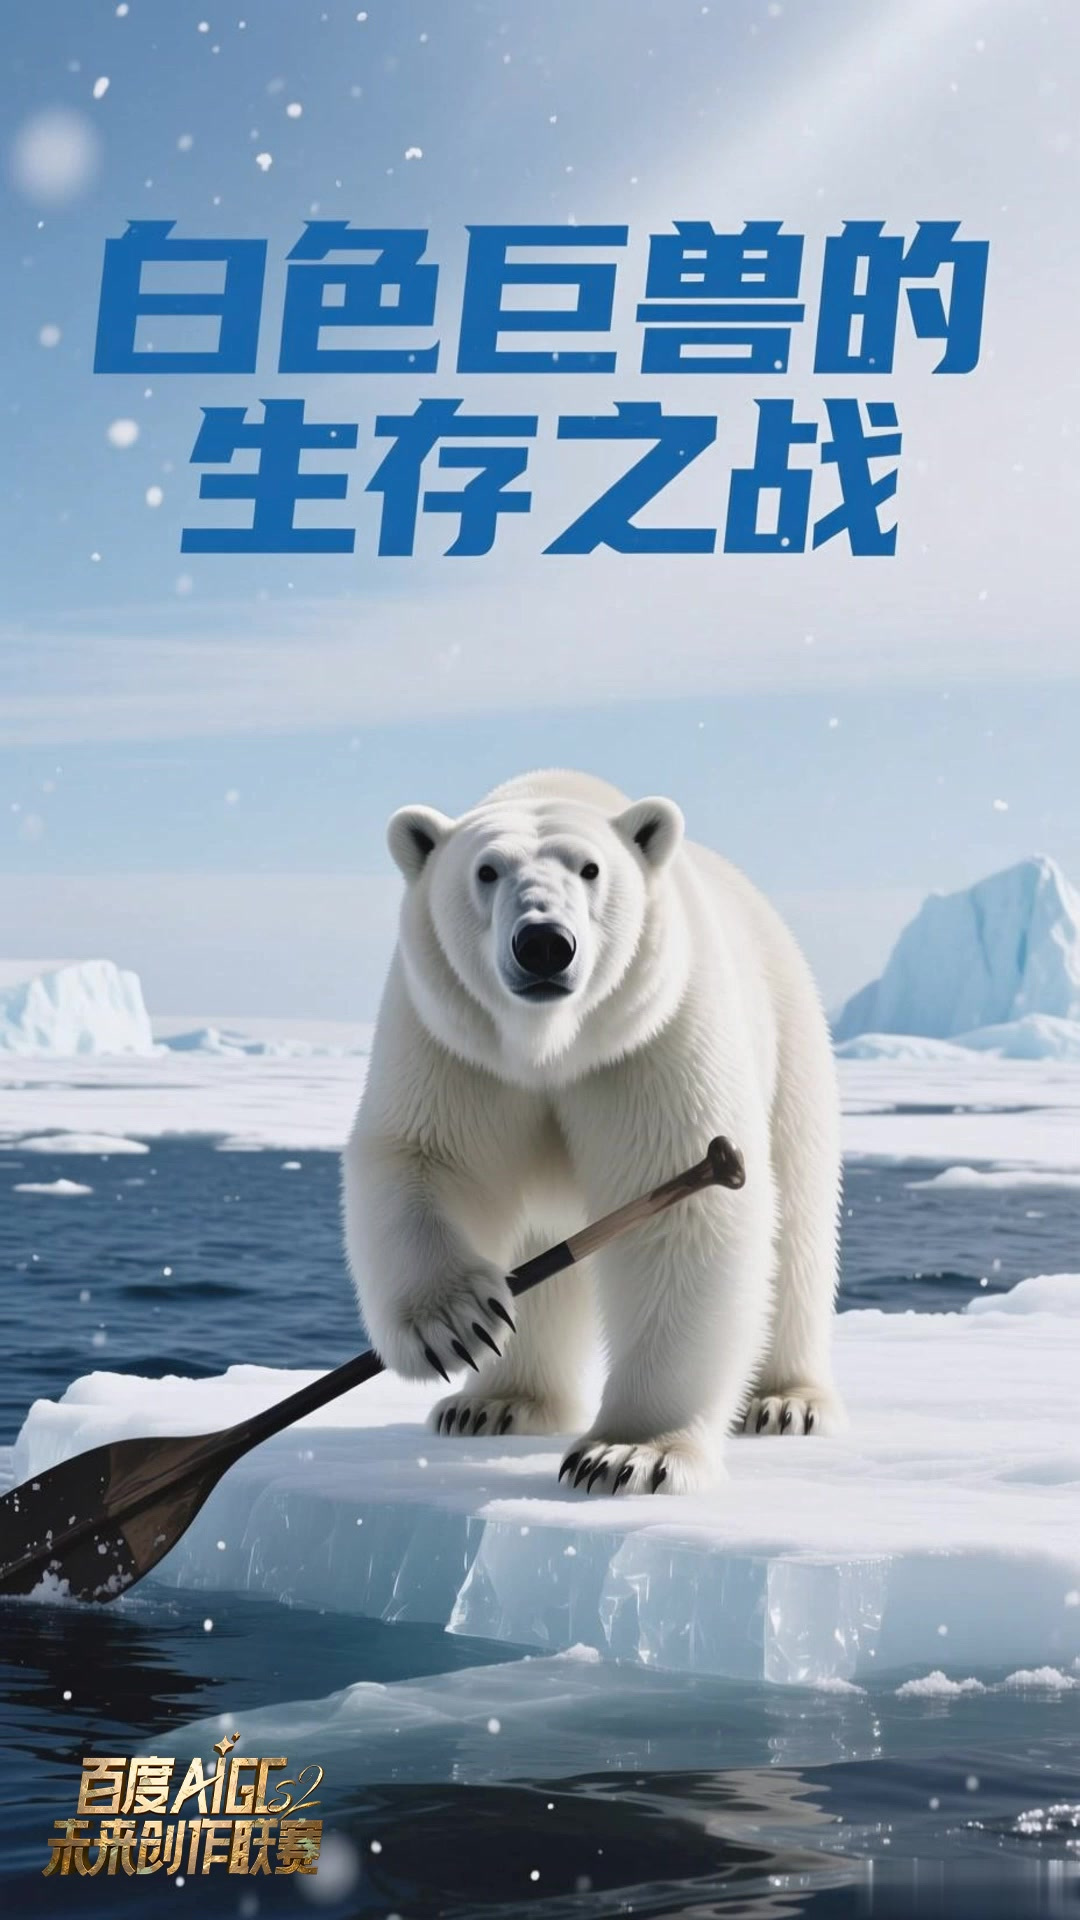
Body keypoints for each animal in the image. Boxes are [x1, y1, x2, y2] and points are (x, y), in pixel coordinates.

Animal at [343, 769, 845, 1496]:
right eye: (486, 869)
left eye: (590, 868)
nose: (544, 943)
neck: (551, 1048)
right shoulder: (452, 1042)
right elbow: (423, 1157)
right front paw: (456, 1324)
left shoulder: (653, 1040)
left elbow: (682, 1215)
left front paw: (629, 1455)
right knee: (541, 1254)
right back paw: (492, 1404)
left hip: (790, 1043)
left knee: (799, 1226)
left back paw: (786, 1402)